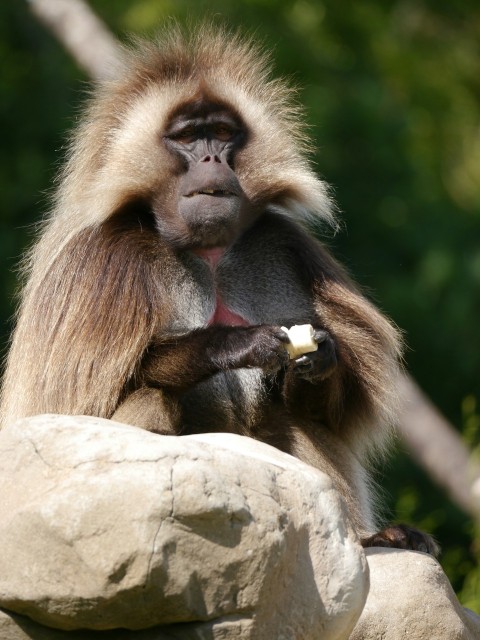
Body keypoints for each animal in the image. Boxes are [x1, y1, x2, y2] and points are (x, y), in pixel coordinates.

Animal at [0, 26, 436, 556]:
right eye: (188, 138)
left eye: (224, 134)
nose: (211, 159)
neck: (207, 253)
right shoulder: (99, 264)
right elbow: (71, 413)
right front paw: (234, 344)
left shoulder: (284, 243)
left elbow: (332, 408)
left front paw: (320, 356)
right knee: (151, 399)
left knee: (290, 415)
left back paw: (365, 538)